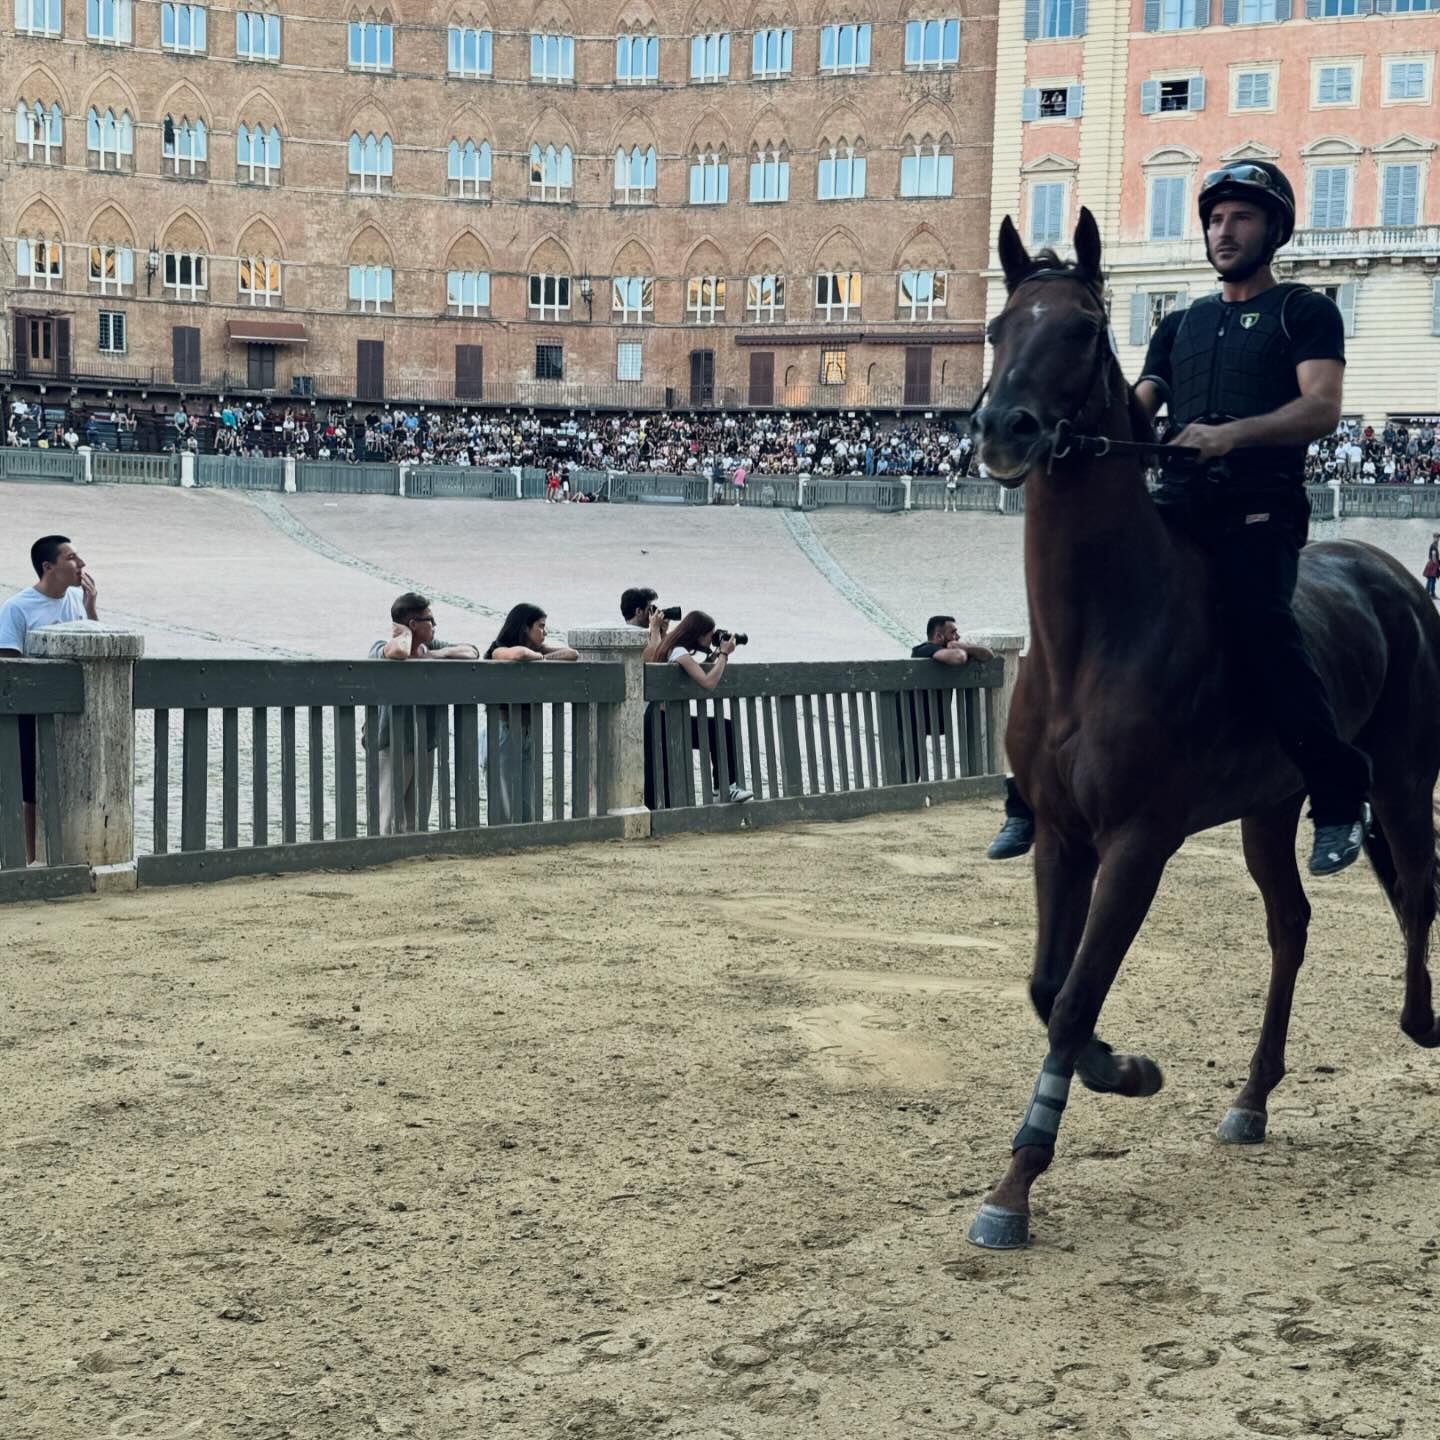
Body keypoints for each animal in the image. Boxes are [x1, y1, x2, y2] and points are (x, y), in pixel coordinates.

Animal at [961, 205, 1440, 1249]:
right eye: (999, 327)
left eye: (1083, 330)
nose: (1003, 428)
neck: (1101, 629)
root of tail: (1393, 575)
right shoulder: (1062, 836)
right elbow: (1049, 989)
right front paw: (1125, 1069)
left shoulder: (1139, 842)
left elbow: (1074, 998)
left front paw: (1016, 1183)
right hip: (1269, 808)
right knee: (1290, 927)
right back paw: (1253, 1098)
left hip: (1400, 777)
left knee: (1418, 893)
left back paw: (1422, 1022)